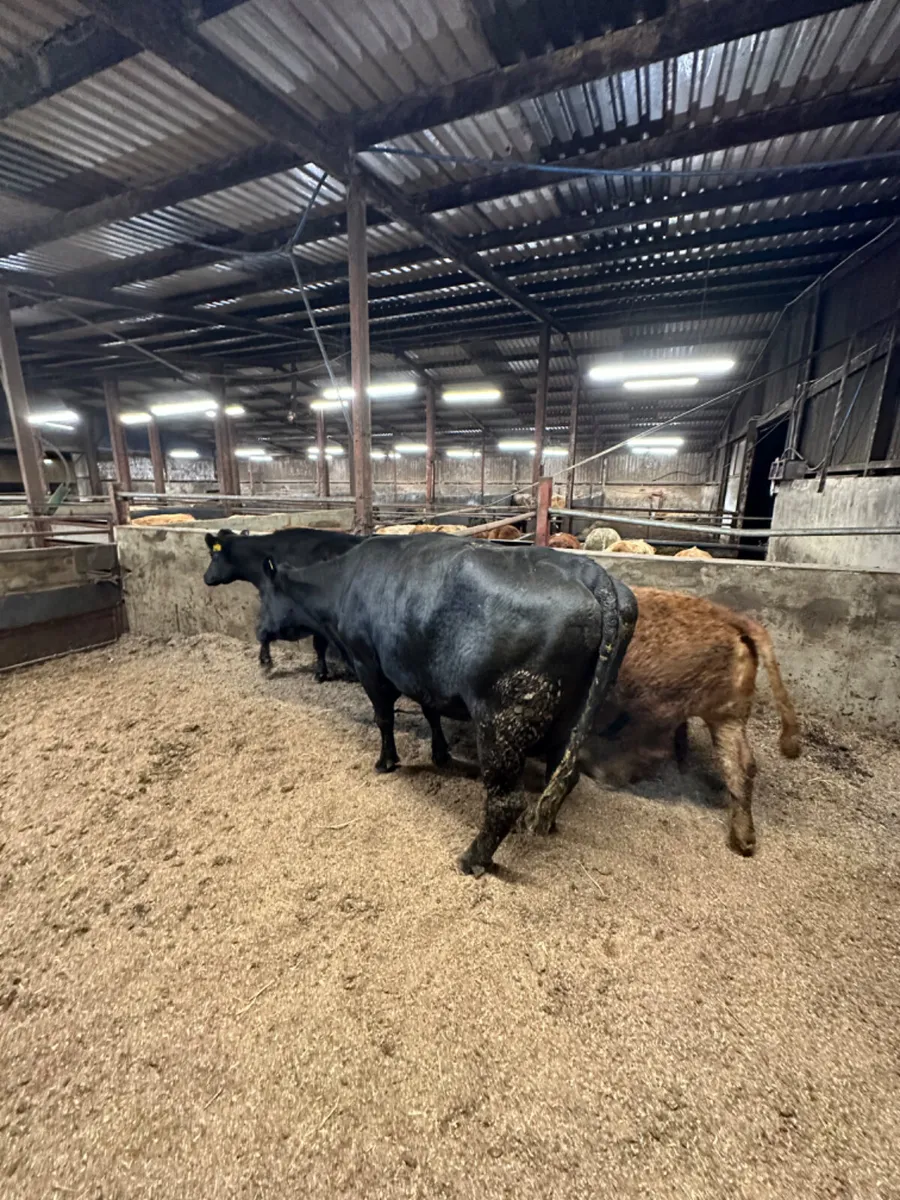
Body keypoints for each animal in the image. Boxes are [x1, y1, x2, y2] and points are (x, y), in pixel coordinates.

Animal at [259, 534, 636, 875]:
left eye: (264, 596)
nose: (258, 630)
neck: (343, 584)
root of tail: (593, 575)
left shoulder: (368, 664)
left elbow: (383, 718)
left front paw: (386, 761)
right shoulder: (423, 676)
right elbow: (431, 713)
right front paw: (440, 754)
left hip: (502, 719)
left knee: (506, 801)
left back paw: (473, 859)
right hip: (572, 715)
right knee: (563, 775)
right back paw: (547, 824)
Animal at [583, 587, 800, 856]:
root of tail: (733, 619)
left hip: (658, 706)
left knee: (653, 749)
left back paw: (599, 771)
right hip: (728, 715)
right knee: (743, 764)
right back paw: (743, 841)